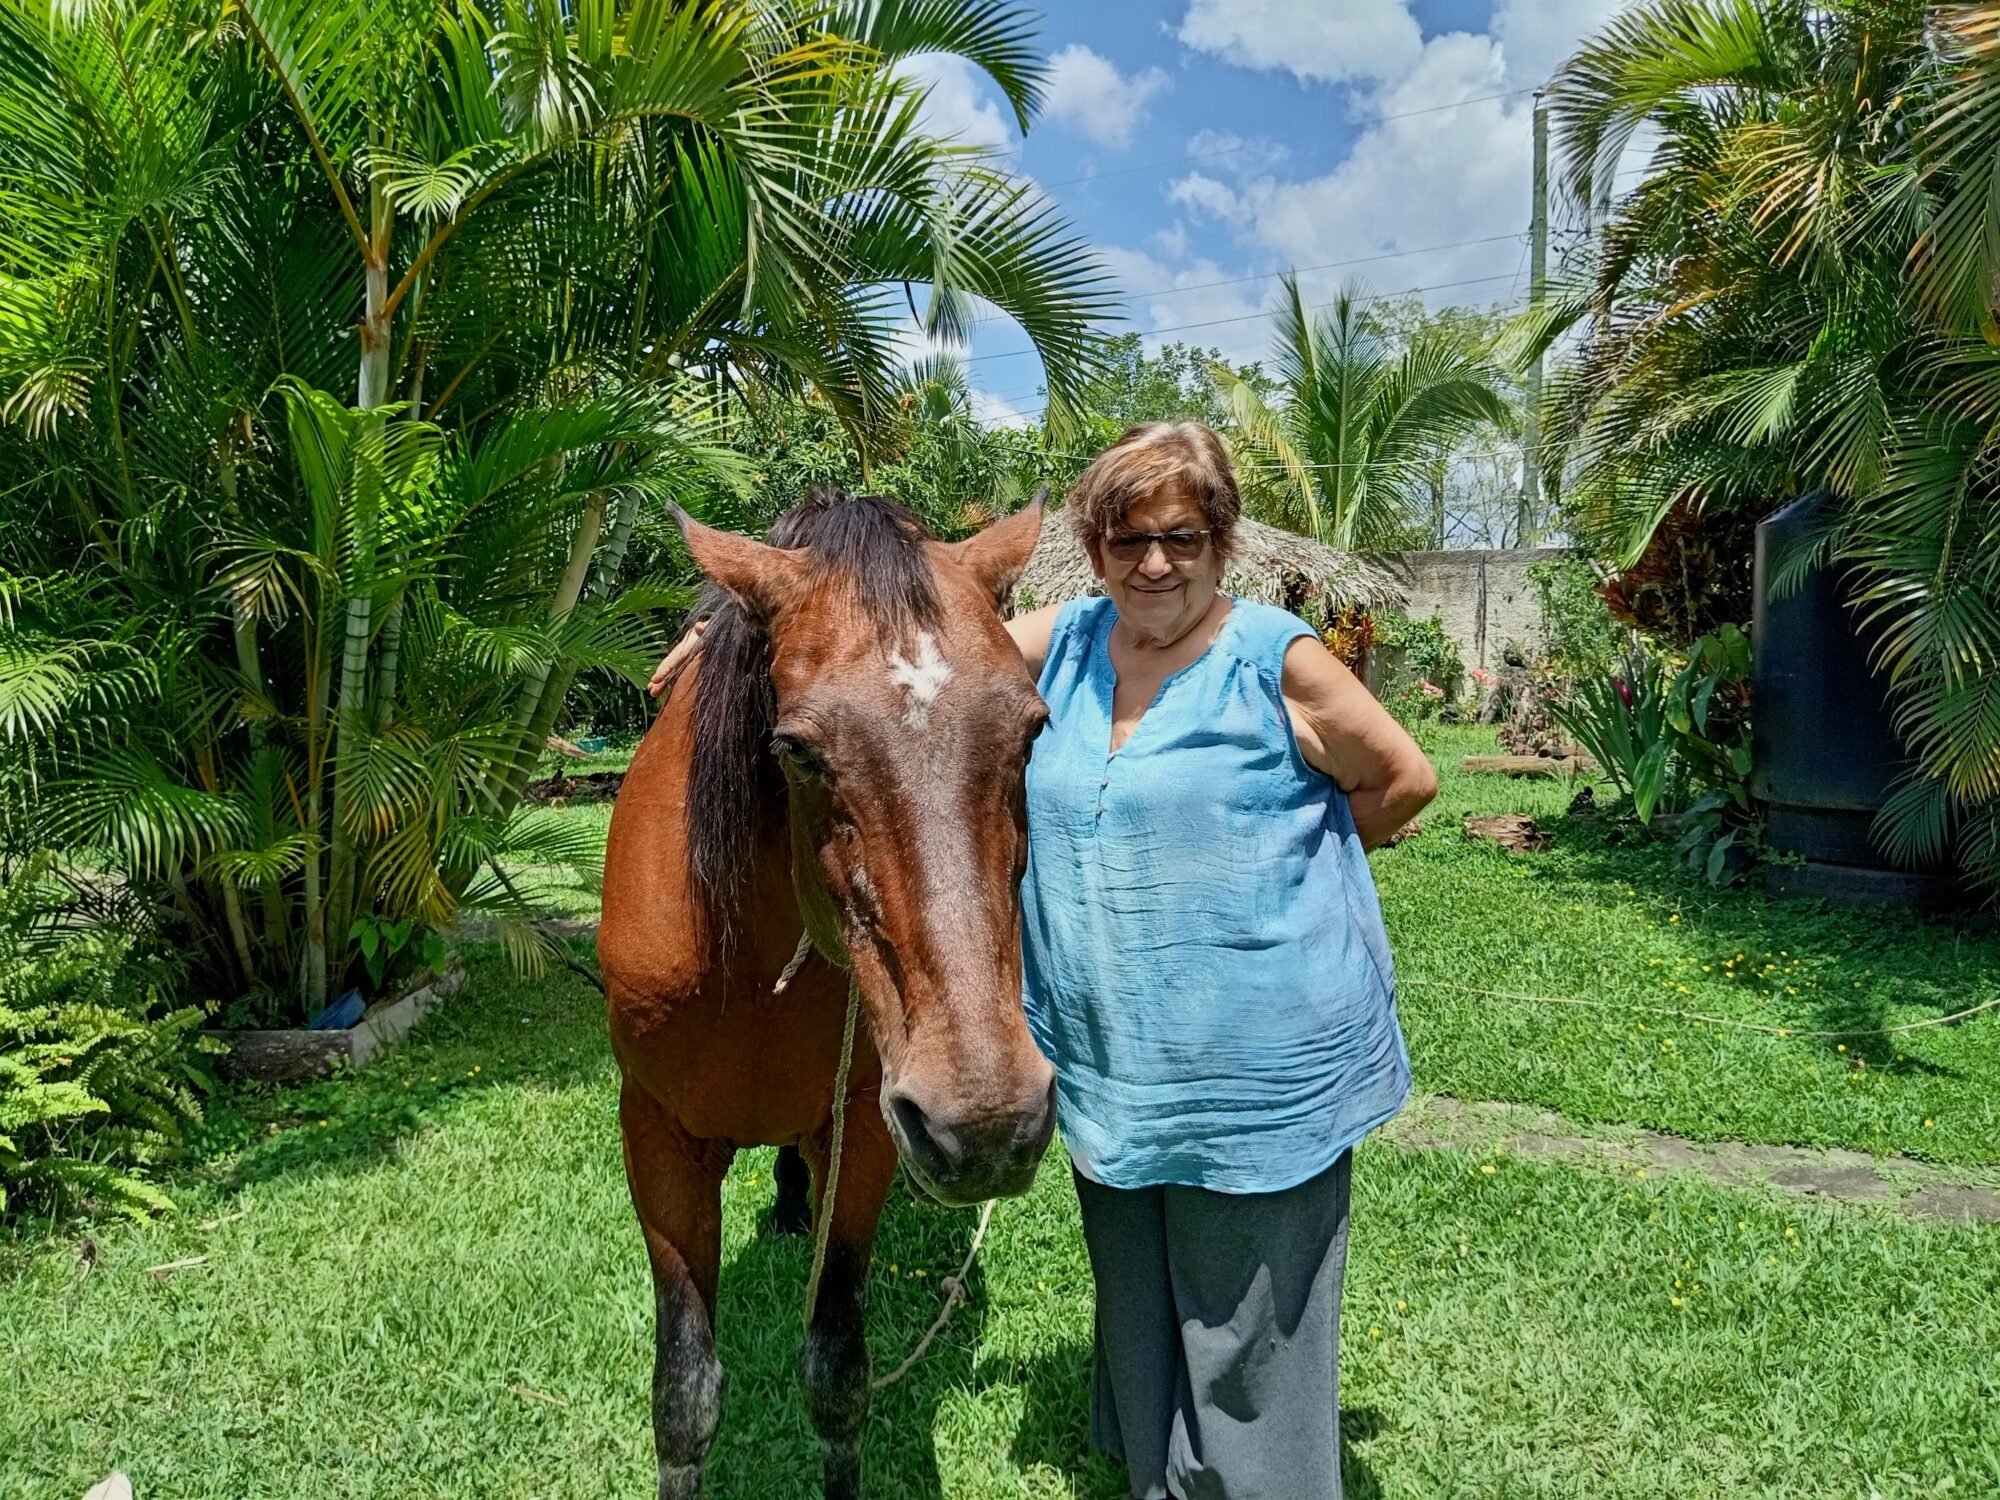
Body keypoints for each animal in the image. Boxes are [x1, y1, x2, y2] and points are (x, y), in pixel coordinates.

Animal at [598, 487, 1058, 1499]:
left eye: (1032, 730)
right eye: (799, 750)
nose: (988, 1124)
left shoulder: (868, 1129)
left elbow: (838, 1375)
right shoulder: (656, 1134)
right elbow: (684, 1394)